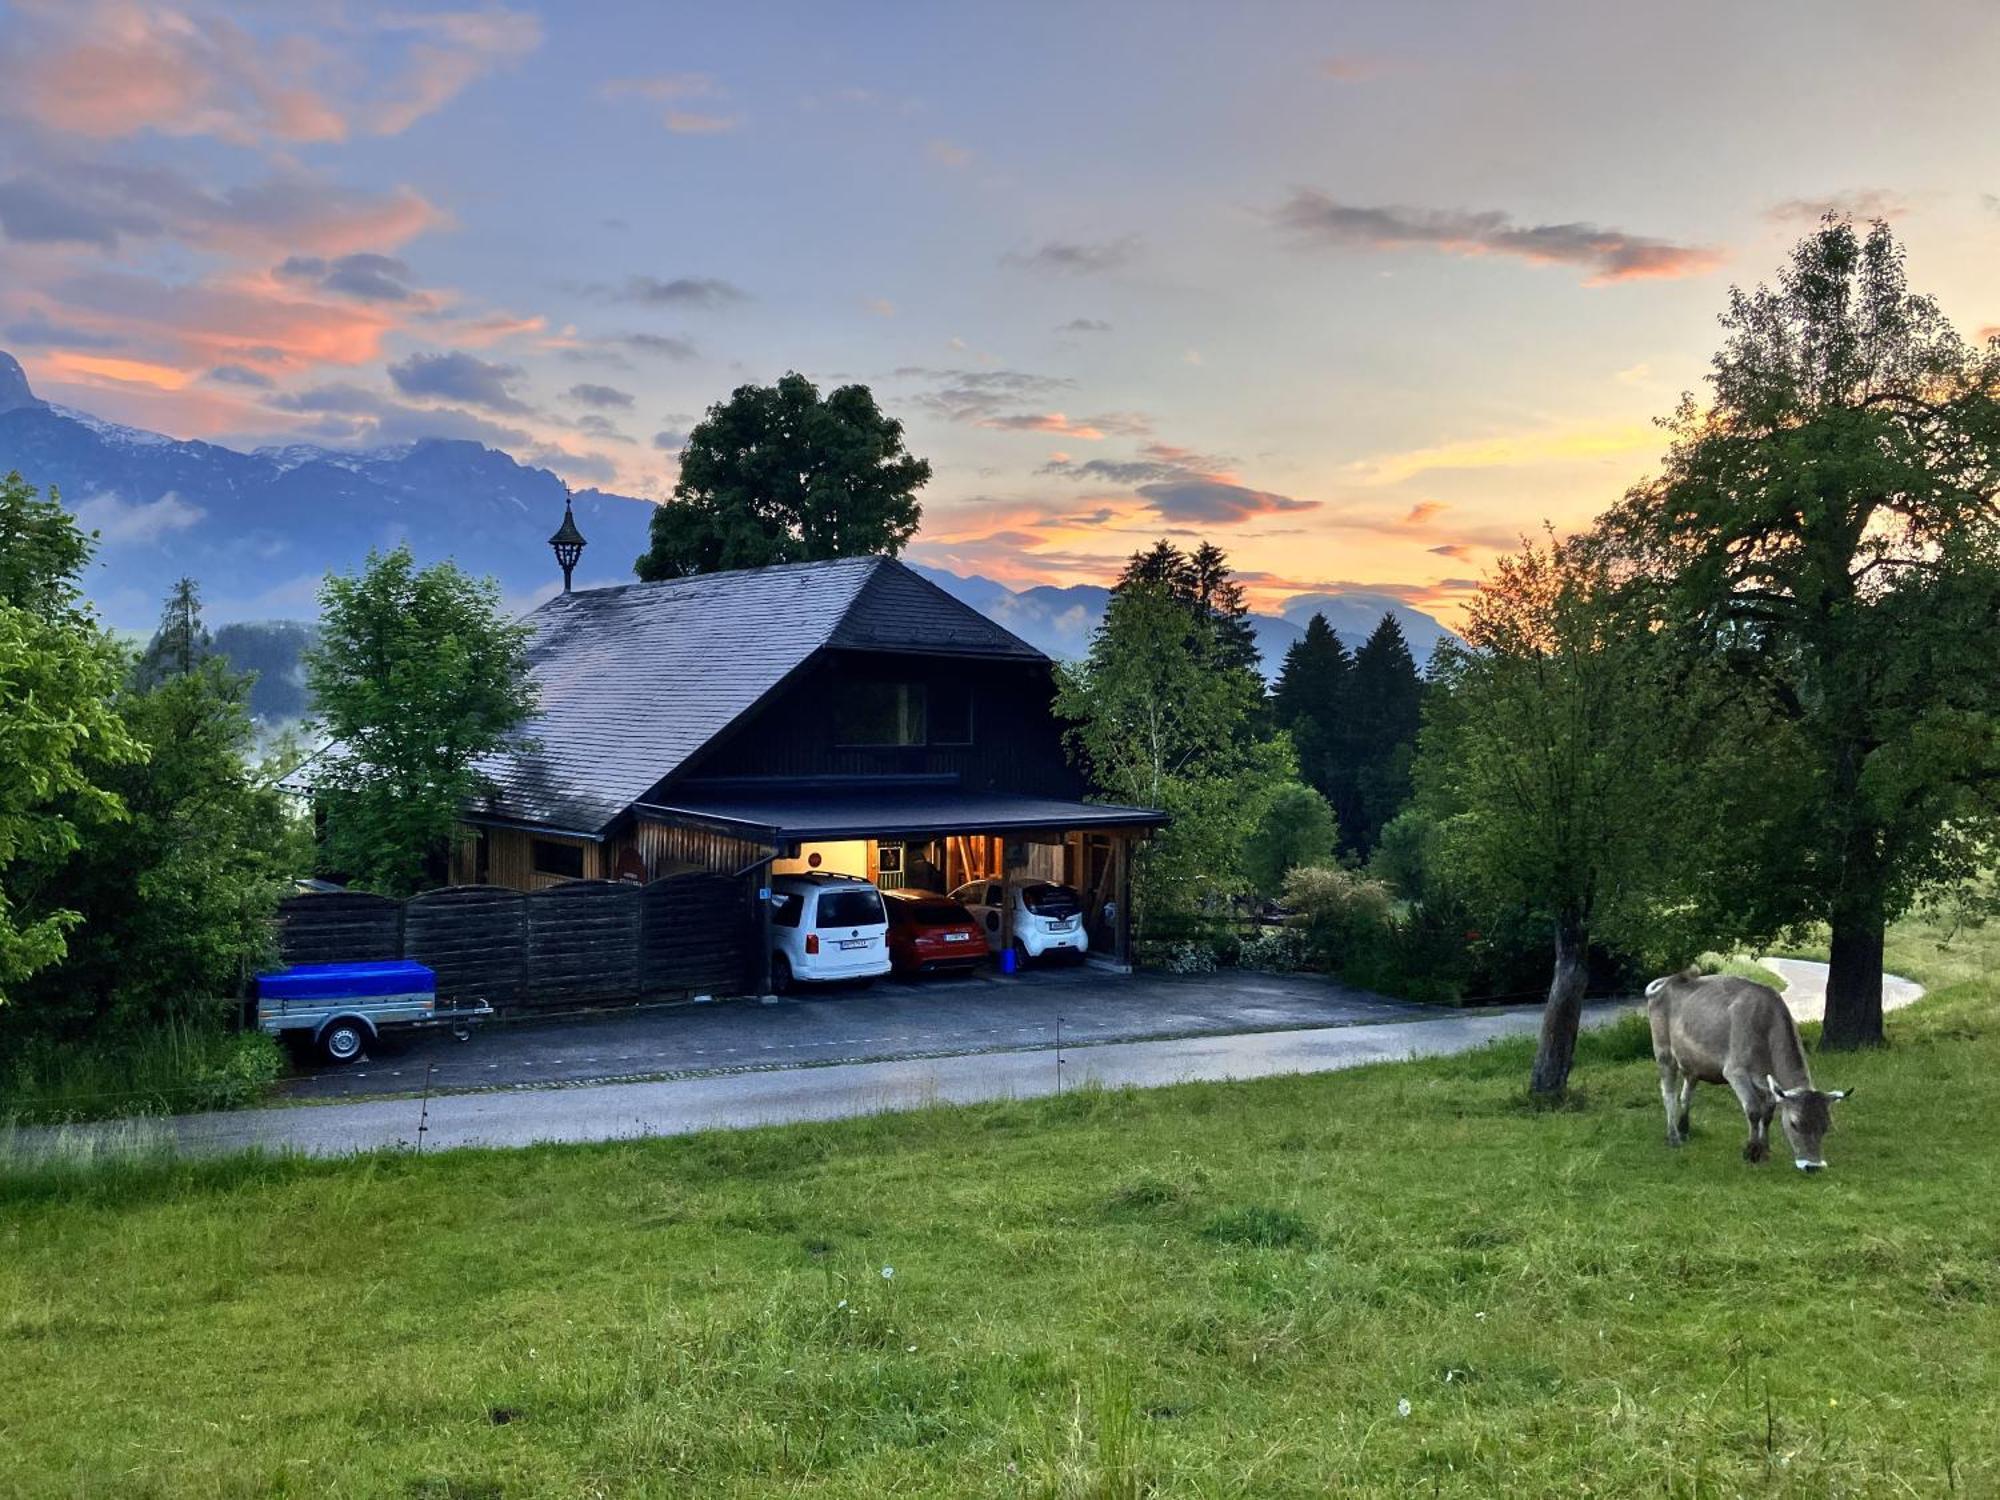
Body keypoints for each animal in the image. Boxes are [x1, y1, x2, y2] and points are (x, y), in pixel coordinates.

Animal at [1648, 976, 1848, 1176]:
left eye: (1826, 1127)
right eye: (1794, 1124)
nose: (1813, 1167)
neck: (1766, 1025)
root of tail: (1668, 980)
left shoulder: (1766, 1082)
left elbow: (1767, 1113)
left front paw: (1764, 1151)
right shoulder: (1736, 1072)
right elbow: (1753, 1110)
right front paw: (1751, 1151)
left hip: (1693, 1064)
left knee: (1686, 1095)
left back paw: (1684, 1129)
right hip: (1664, 1052)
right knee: (1669, 1094)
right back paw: (1673, 1136)